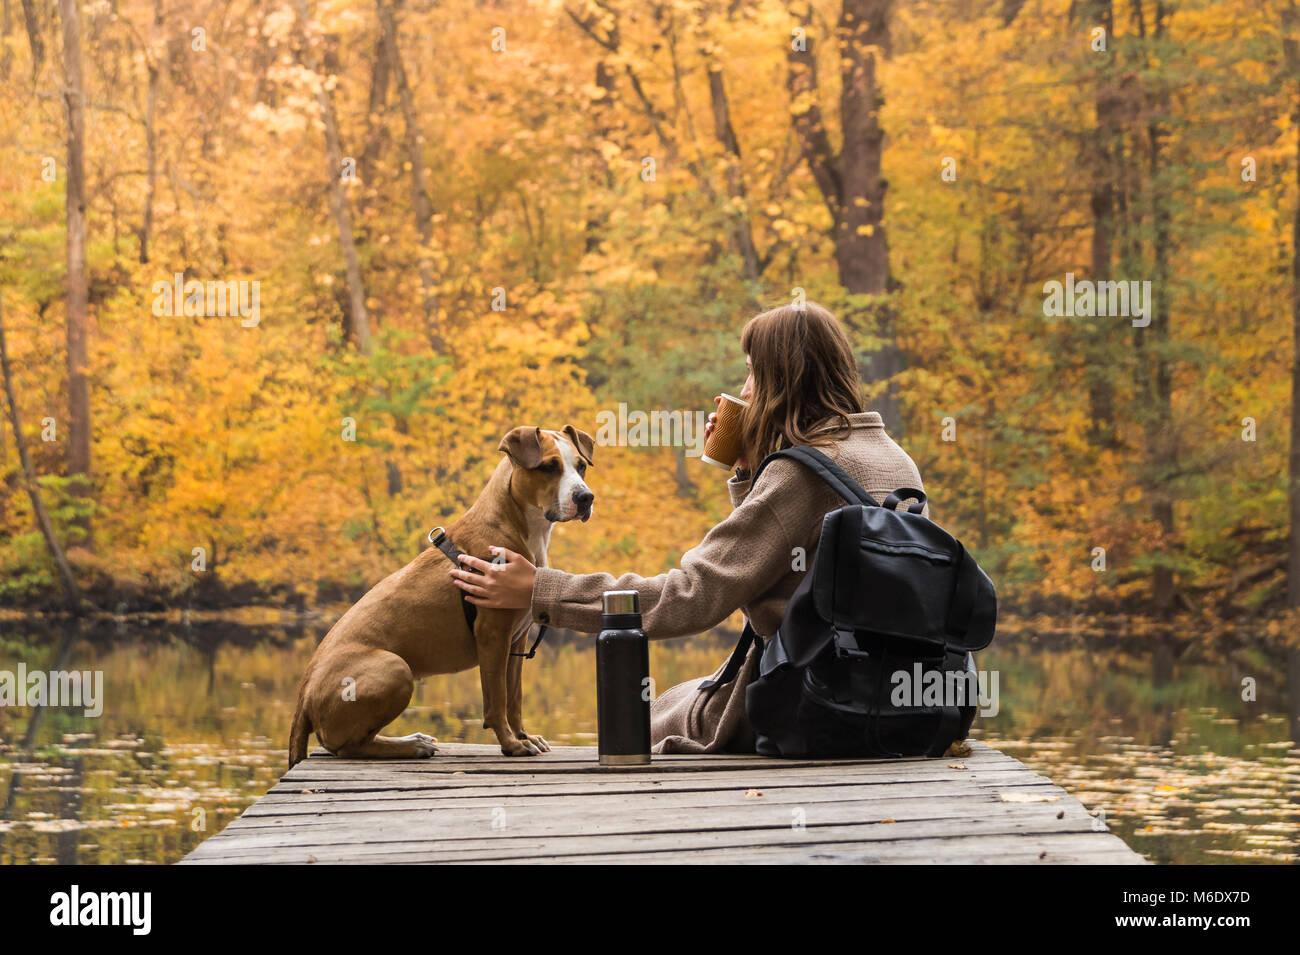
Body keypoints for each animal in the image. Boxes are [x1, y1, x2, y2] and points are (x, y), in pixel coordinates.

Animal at [288, 426, 595, 769]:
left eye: (581, 466)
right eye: (548, 467)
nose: (585, 497)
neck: (519, 525)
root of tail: (303, 699)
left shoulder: (515, 640)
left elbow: (514, 698)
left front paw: (524, 736)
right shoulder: (493, 637)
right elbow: (496, 700)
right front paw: (511, 745)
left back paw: (411, 740)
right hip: (394, 668)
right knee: (346, 747)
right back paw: (410, 747)